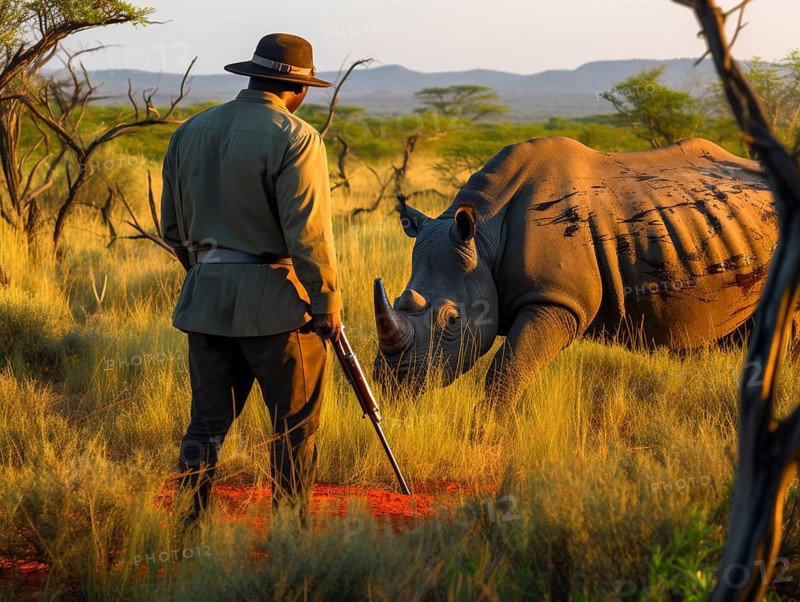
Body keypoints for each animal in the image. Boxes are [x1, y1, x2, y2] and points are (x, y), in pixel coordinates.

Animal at [372, 136, 779, 405]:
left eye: (453, 320)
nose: (391, 381)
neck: (486, 236)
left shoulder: (556, 299)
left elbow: (505, 371)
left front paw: (486, 437)